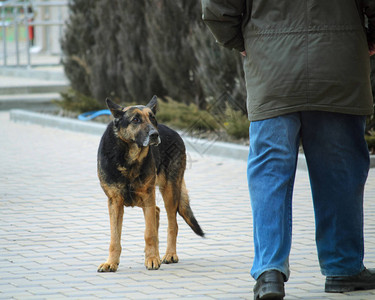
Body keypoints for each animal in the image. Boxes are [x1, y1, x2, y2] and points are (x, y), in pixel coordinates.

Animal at [95, 96, 204, 272]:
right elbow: (114, 238)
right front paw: (111, 262)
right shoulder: (115, 202)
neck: (129, 158)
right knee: (157, 212)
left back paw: (169, 254)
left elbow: (149, 233)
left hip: (169, 192)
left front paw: (152, 259)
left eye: (152, 117)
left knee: (172, 224)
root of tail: (173, 131)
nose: (155, 135)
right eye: (135, 120)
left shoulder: (147, 196)